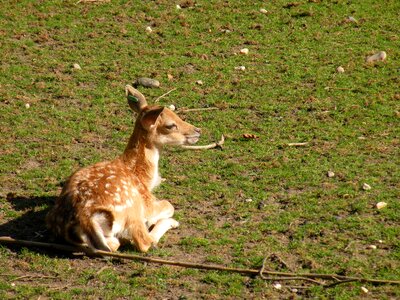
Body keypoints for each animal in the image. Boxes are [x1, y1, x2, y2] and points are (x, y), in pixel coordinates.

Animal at [46, 85, 202, 252]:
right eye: (170, 125)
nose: (198, 130)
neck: (142, 177)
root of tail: (85, 219)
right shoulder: (147, 202)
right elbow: (169, 205)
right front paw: (158, 219)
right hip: (132, 207)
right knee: (144, 242)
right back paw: (168, 224)